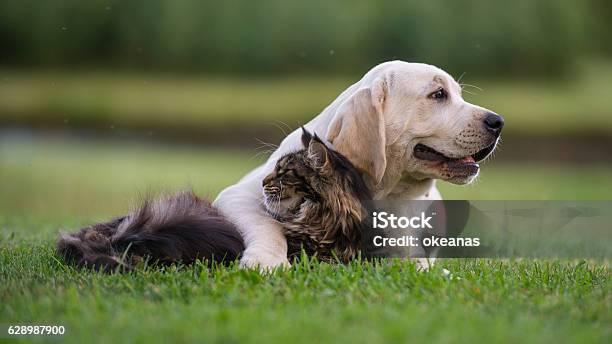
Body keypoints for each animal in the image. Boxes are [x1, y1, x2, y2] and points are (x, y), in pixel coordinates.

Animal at [214, 61, 502, 268]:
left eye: (458, 94)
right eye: (438, 94)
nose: (498, 122)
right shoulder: (237, 195)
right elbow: (267, 225)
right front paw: (267, 260)